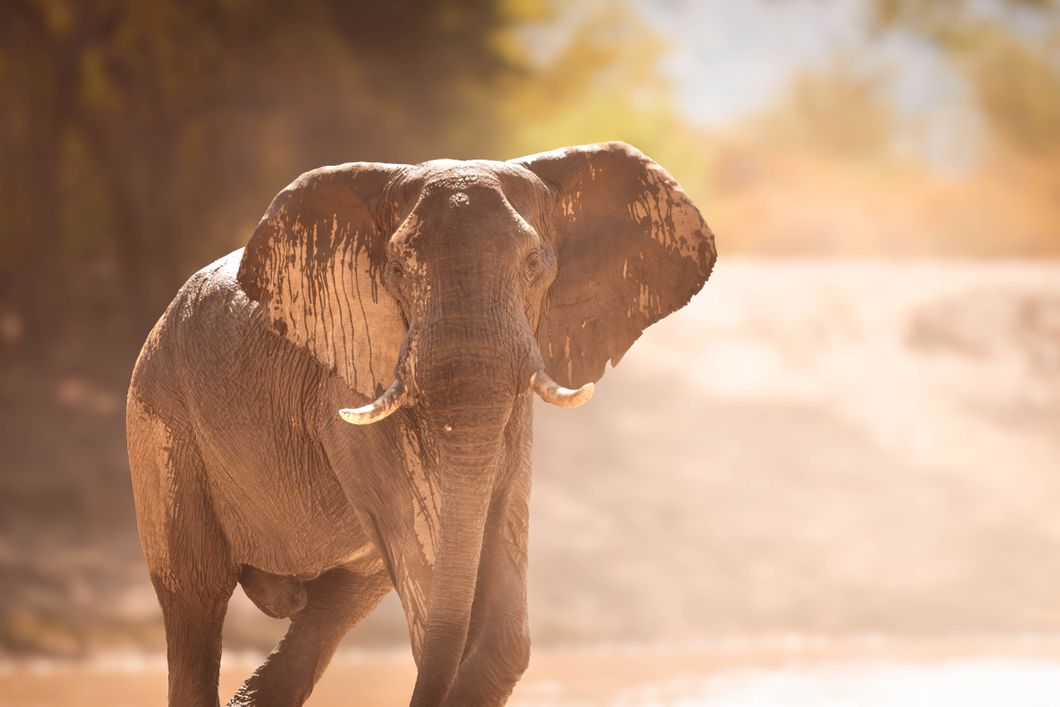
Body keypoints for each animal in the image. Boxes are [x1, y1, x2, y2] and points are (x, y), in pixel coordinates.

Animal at [126, 141, 717, 707]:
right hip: (159, 416)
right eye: (399, 271)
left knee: (332, 611)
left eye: (535, 263)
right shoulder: (351, 388)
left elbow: (500, 577)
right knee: (194, 597)